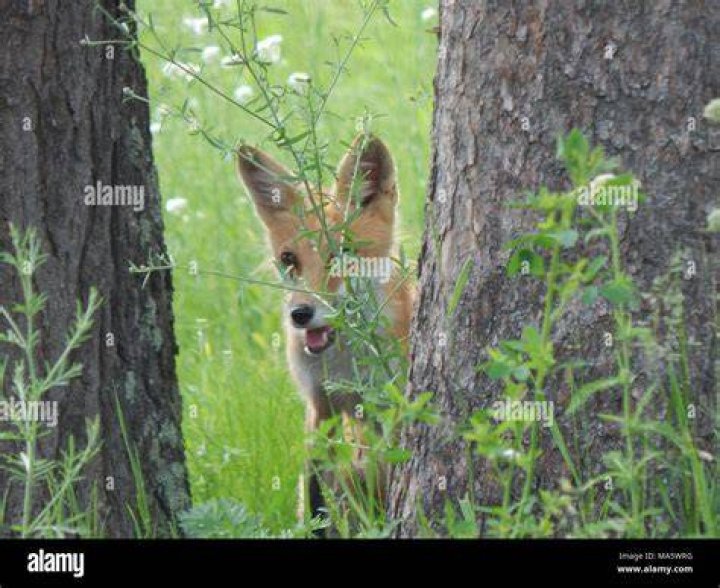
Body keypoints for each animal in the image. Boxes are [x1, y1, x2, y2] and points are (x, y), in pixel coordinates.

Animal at [236, 134, 414, 529]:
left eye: (342, 254)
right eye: (289, 259)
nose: (300, 315)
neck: (345, 361)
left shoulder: (391, 406)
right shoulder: (320, 404)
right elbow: (314, 492)